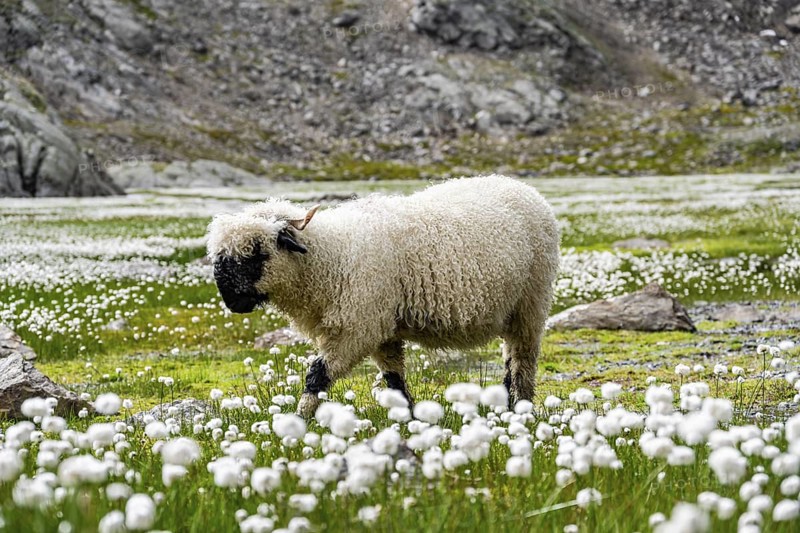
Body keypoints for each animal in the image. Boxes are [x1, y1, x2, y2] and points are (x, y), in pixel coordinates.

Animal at [206, 175, 560, 417]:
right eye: (219, 257)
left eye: (257, 254)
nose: (232, 303)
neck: (331, 258)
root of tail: (524, 188)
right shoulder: (382, 330)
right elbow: (394, 380)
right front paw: (411, 418)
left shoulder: (356, 328)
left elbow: (317, 374)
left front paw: (299, 419)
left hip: (531, 302)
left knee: (522, 360)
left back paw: (519, 406)